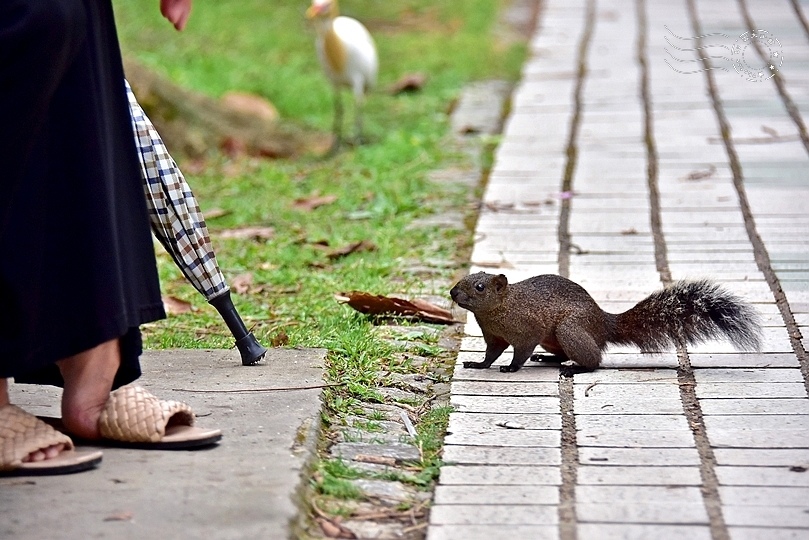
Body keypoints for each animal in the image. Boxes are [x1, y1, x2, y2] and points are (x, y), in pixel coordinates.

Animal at [448, 272, 764, 374]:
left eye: (479, 287)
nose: (452, 292)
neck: (499, 311)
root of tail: (602, 323)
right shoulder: (493, 336)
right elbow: (491, 353)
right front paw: (478, 364)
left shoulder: (528, 328)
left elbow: (521, 350)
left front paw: (512, 367)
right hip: (556, 338)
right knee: (562, 354)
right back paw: (549, 359)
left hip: (569, 328)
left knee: (594, 360)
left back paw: (575, 369)